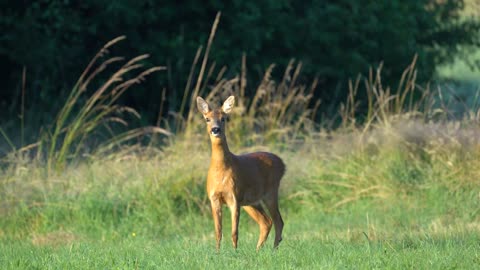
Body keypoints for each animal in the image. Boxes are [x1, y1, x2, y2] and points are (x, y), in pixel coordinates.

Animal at [196, 95, 284, 251]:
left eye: (224, 118)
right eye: (207, 119)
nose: (215, 129)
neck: (221, 171)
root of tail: (282, 163)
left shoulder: (234, 197)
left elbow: (234, 232)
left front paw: (235, 252)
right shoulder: (214, 198)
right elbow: (218, 231)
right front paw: (217, 252)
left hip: (270, 192)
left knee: (278, 221)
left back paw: (273, 250)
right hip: (251, 201)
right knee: (266, 221)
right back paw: (258, 250)